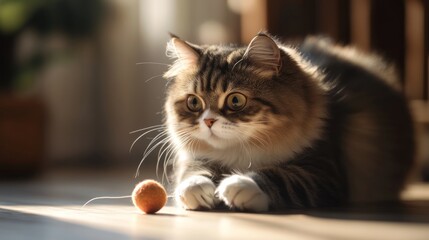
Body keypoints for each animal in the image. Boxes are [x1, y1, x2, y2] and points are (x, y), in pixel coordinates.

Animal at [159, 32, 412, 212]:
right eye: (194, 102)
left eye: (235, 100)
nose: (209, 121)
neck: (240, 153)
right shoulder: (194, 158)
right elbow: (192, 173)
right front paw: (197, 189)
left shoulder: (323, 172)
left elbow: (280, 176)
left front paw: (239, 185)